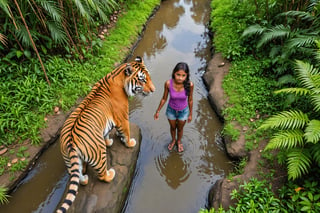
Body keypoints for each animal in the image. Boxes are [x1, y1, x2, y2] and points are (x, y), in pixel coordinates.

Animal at [57, 55, 156, 212]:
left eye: (148, 77)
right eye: (142, 80)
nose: (153, 90)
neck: (119, 77)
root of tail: (71, 140)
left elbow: (107, 133)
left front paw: (109, 141)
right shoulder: (122, 117)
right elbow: (126, 132)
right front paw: (130, 143)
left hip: (70, 161)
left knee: (79, 177)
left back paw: (85, 179)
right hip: (98, 154)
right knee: (102, 175)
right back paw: (111, 174)